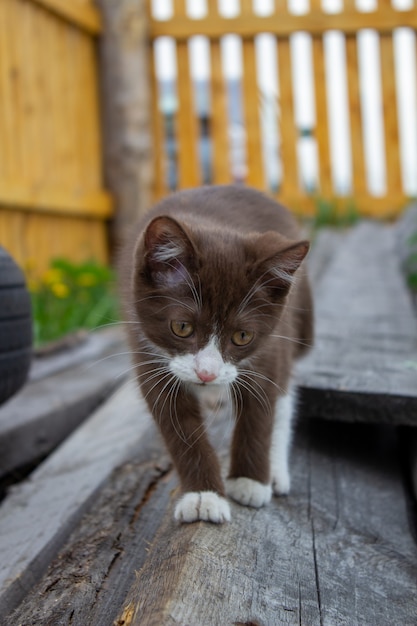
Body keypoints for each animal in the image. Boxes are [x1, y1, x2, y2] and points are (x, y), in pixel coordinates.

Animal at [120, 184, 312, 520]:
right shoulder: (145, 347)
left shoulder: (269, 346)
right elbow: (176, 421)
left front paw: (250, 481)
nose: (206, 373)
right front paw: (203, 495)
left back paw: (274, 470)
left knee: (284, 395)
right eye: (182, 327)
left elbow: (260, 408)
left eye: (242, 335)